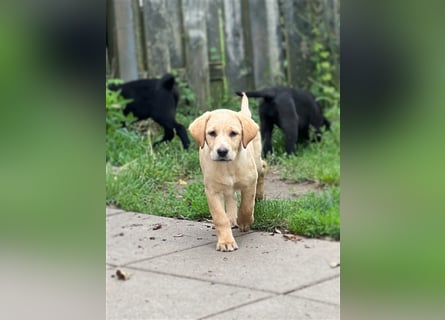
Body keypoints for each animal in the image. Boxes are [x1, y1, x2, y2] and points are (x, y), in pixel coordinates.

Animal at [187, 94, 264, 251]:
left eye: (233, 133)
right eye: (212, 133)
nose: (222, 151)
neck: (228, 166)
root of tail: (243, 114)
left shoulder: (249, 182)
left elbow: (247, 206)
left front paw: (245, 221)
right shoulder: (212, 191)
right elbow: (220, 217)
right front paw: (226, 241)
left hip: (257, 162)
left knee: (263, 168)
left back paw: (259, 196)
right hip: (226, 188)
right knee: (231, 197)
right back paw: (232, 217)